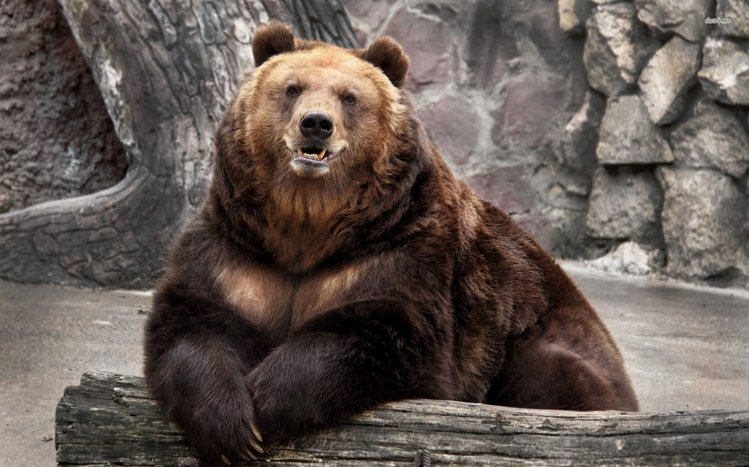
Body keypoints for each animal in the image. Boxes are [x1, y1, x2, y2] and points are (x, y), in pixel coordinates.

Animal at [144, 22, 638, 465]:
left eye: (349, 97)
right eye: (292, 88)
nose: (316, 124)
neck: (306, 228)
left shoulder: (399, 248)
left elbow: (382, 331)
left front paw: (265, 402)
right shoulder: (239, 252)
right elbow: (193, 323)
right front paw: (231, 426)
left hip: (536, 333)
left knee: (556, 376)